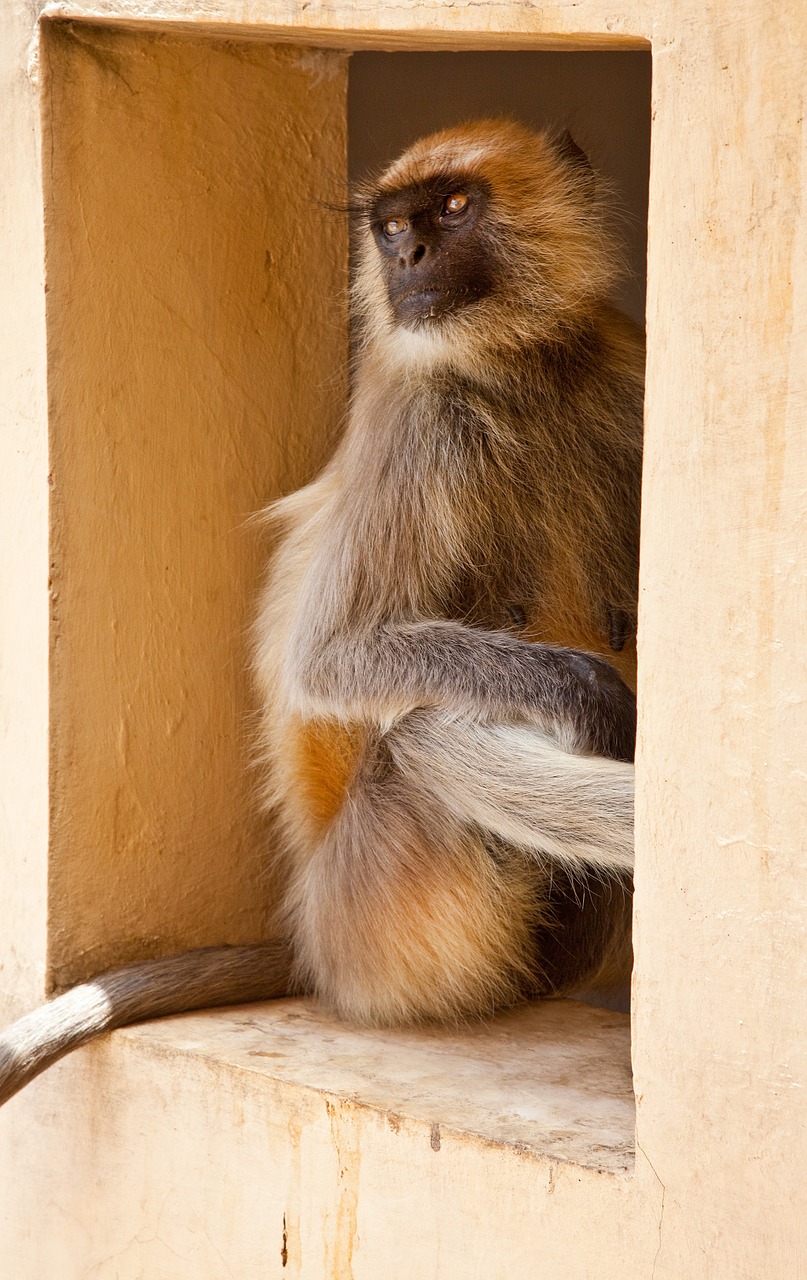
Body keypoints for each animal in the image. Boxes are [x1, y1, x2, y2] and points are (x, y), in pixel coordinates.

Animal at [0, 117, 645, 1100]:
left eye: (454, 206)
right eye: (393, 227)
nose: (408, 256)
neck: (522, 366)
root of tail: (310, 930)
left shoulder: (623, 363)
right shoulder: (423, 417)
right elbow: (333, 658)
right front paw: (590, 697)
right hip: (377, 913)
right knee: (423, 739)